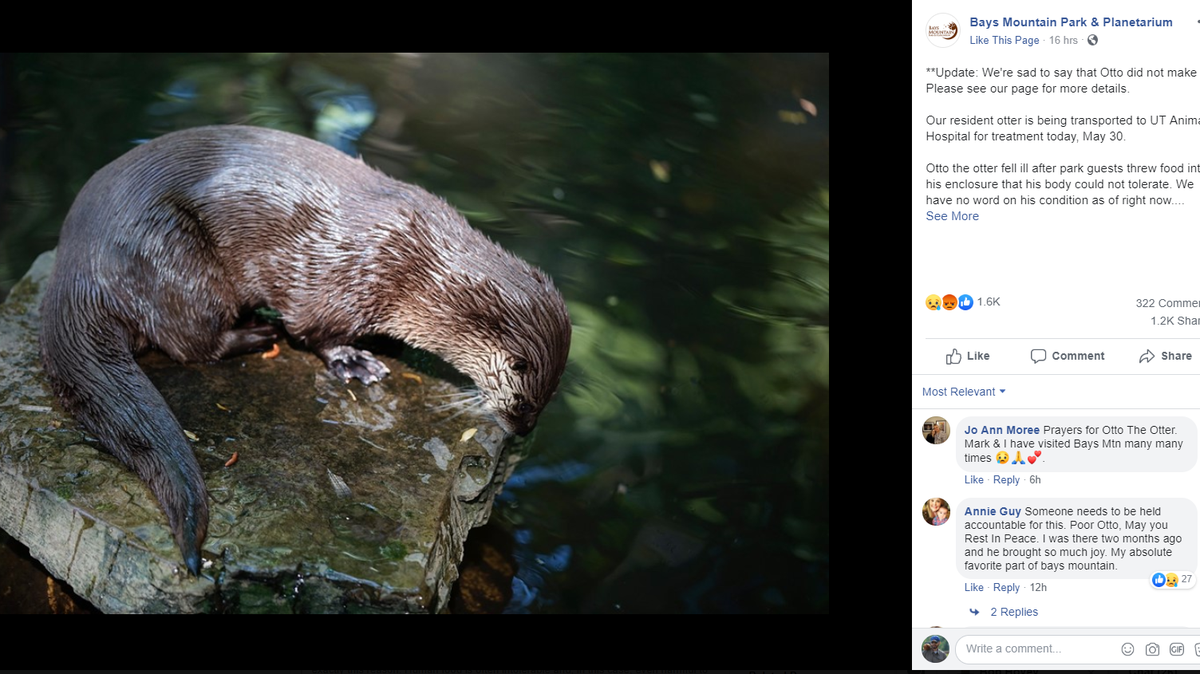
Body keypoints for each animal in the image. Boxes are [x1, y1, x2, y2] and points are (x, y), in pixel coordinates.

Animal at [39, 125, 572, 575]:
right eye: (521, 385)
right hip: (175, 258)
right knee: (191, 341)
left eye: (549, 396)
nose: (523, 428)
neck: (417, 270)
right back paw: (256, 333)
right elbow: (312, 330)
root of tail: (79, 263)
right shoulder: (342, 279)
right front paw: (353, 360)